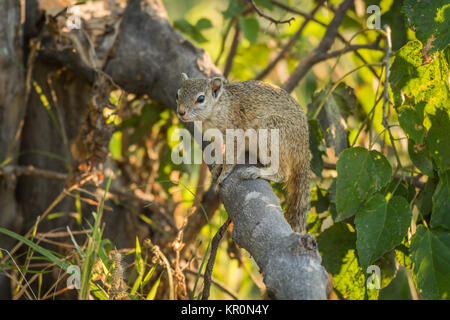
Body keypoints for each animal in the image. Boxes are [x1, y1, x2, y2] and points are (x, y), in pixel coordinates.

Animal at [177, 73, 312, 232]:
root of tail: (303, 151)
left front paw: (222, 175)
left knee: (283, 174)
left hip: (273, 132)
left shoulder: (236, 131)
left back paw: (257, 172)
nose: (181, 112)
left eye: (200, 98)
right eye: (178, 94)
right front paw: (217, 166)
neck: (216, 110)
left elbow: (232, 156)